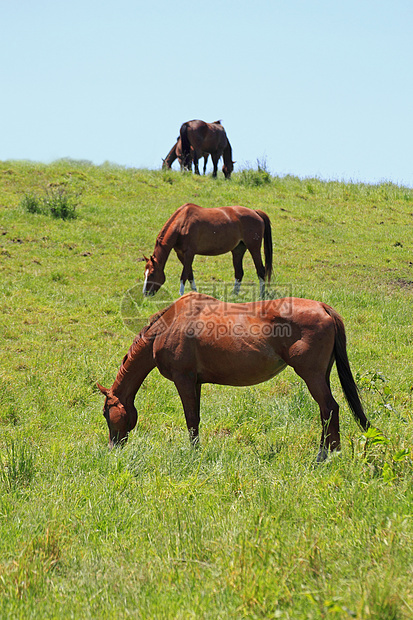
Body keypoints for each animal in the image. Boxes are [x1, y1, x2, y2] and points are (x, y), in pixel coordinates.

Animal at [98, 294, 368, 462]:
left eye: (106, 414)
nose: (112, 448)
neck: (169, 324)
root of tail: (323, 307)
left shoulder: (183, 379)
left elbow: (190, 419)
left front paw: (194, 454)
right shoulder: (195, 382)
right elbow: (196, 418)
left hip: (312, 376)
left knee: (329, 408)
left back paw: (326, 455)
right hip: (321, 375)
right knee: (326, 411)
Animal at [142, 203, 274, 298]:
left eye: (152, 274)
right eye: (145, 273)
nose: (145, 294)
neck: (182, 224)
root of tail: (255, 212)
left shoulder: (189, 253)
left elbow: (184, 275)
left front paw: (181, 295)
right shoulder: (181, 254)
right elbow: (190, 274)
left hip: (254, 248)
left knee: (261, 271)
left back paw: (261, 295)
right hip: (238, 250)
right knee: (239, 273)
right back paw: (234, 295)